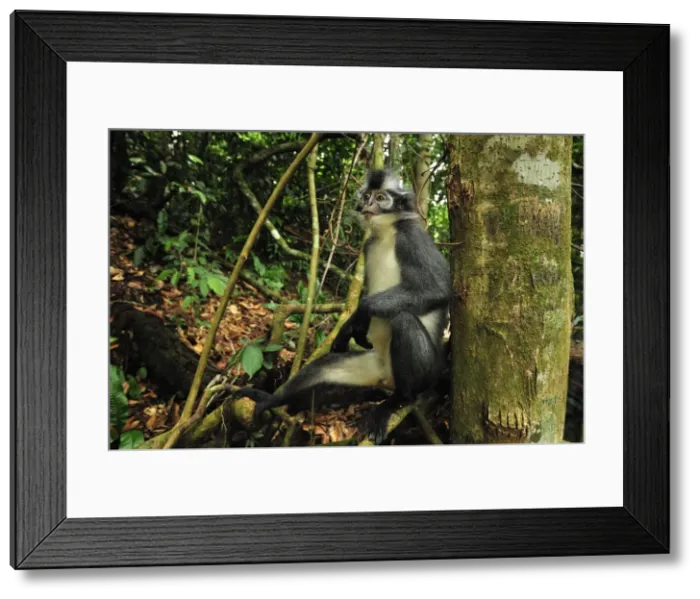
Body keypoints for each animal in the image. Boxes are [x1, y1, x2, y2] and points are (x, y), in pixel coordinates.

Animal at [232, 168, 453, 444]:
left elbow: (439, 289)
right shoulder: (369, 246)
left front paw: (361, 314)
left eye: (381, 198)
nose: (368, 205)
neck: (386, 234)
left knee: (403, 320)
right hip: (372, 366)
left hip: (427, 372)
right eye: (367, 196)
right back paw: (270, 400)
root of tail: (388, 378)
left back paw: (398, 400)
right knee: (321, 367)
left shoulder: (412, 236)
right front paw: (350, 327)